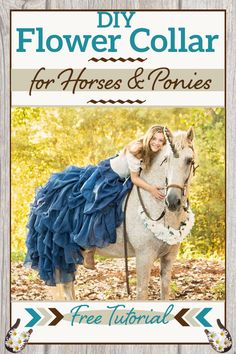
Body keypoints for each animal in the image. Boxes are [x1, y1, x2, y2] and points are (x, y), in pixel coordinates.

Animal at [53, 127, 195, 302]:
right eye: (166, 160)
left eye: (189, 160)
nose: (173, 201)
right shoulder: (144, 257)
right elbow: (142, 293)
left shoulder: (169, 257)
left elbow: (165, 291)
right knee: (67, 287)